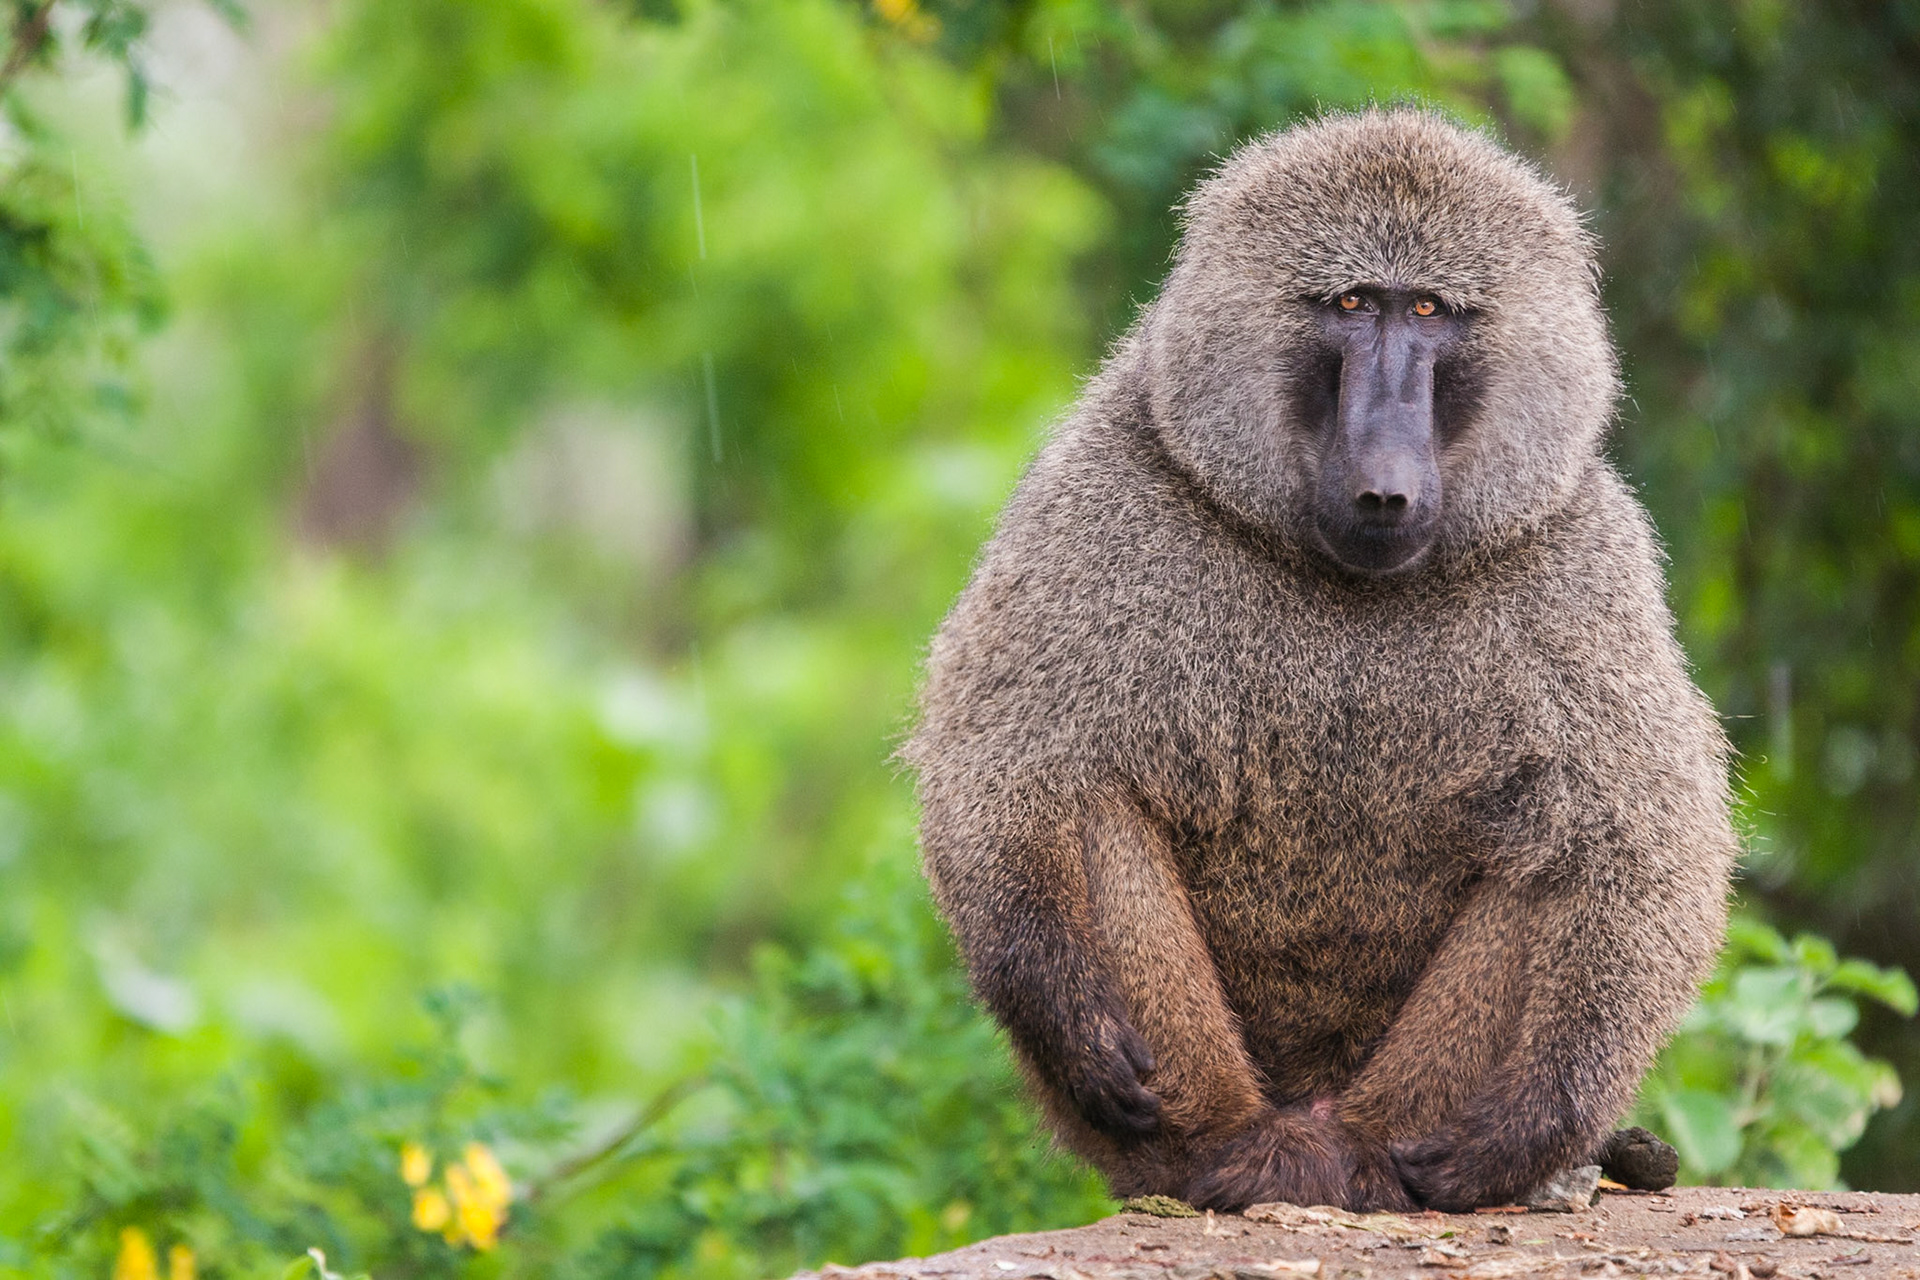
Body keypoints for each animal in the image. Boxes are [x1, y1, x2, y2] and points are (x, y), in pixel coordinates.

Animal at [902, 108, 1737, 1213]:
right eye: (1349, 304)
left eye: (1429, 307)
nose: (1384, 482)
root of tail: (1315, 1129)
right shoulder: (1099, 488)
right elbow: (1010, 762)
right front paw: (1075, 1018)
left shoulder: (1583, 553)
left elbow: (1635, 833)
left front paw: (1533, 1121)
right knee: (1087, 801)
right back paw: (1219, 1156)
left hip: (1401, 1096)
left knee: (1553, 848)